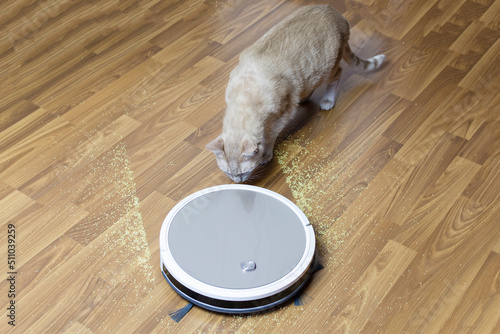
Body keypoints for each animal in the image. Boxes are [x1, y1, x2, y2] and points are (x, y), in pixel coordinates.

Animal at [205, 4, 384, 183]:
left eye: (243, 172)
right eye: (228, 172)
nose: (238, 181)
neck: (244, 97)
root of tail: (336, 13)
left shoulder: (282, 115)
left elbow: (269, 138)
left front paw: (266, 155)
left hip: (326, 70)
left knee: (338, 74)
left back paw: (327, 100)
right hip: (311, 74)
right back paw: (304, 98)